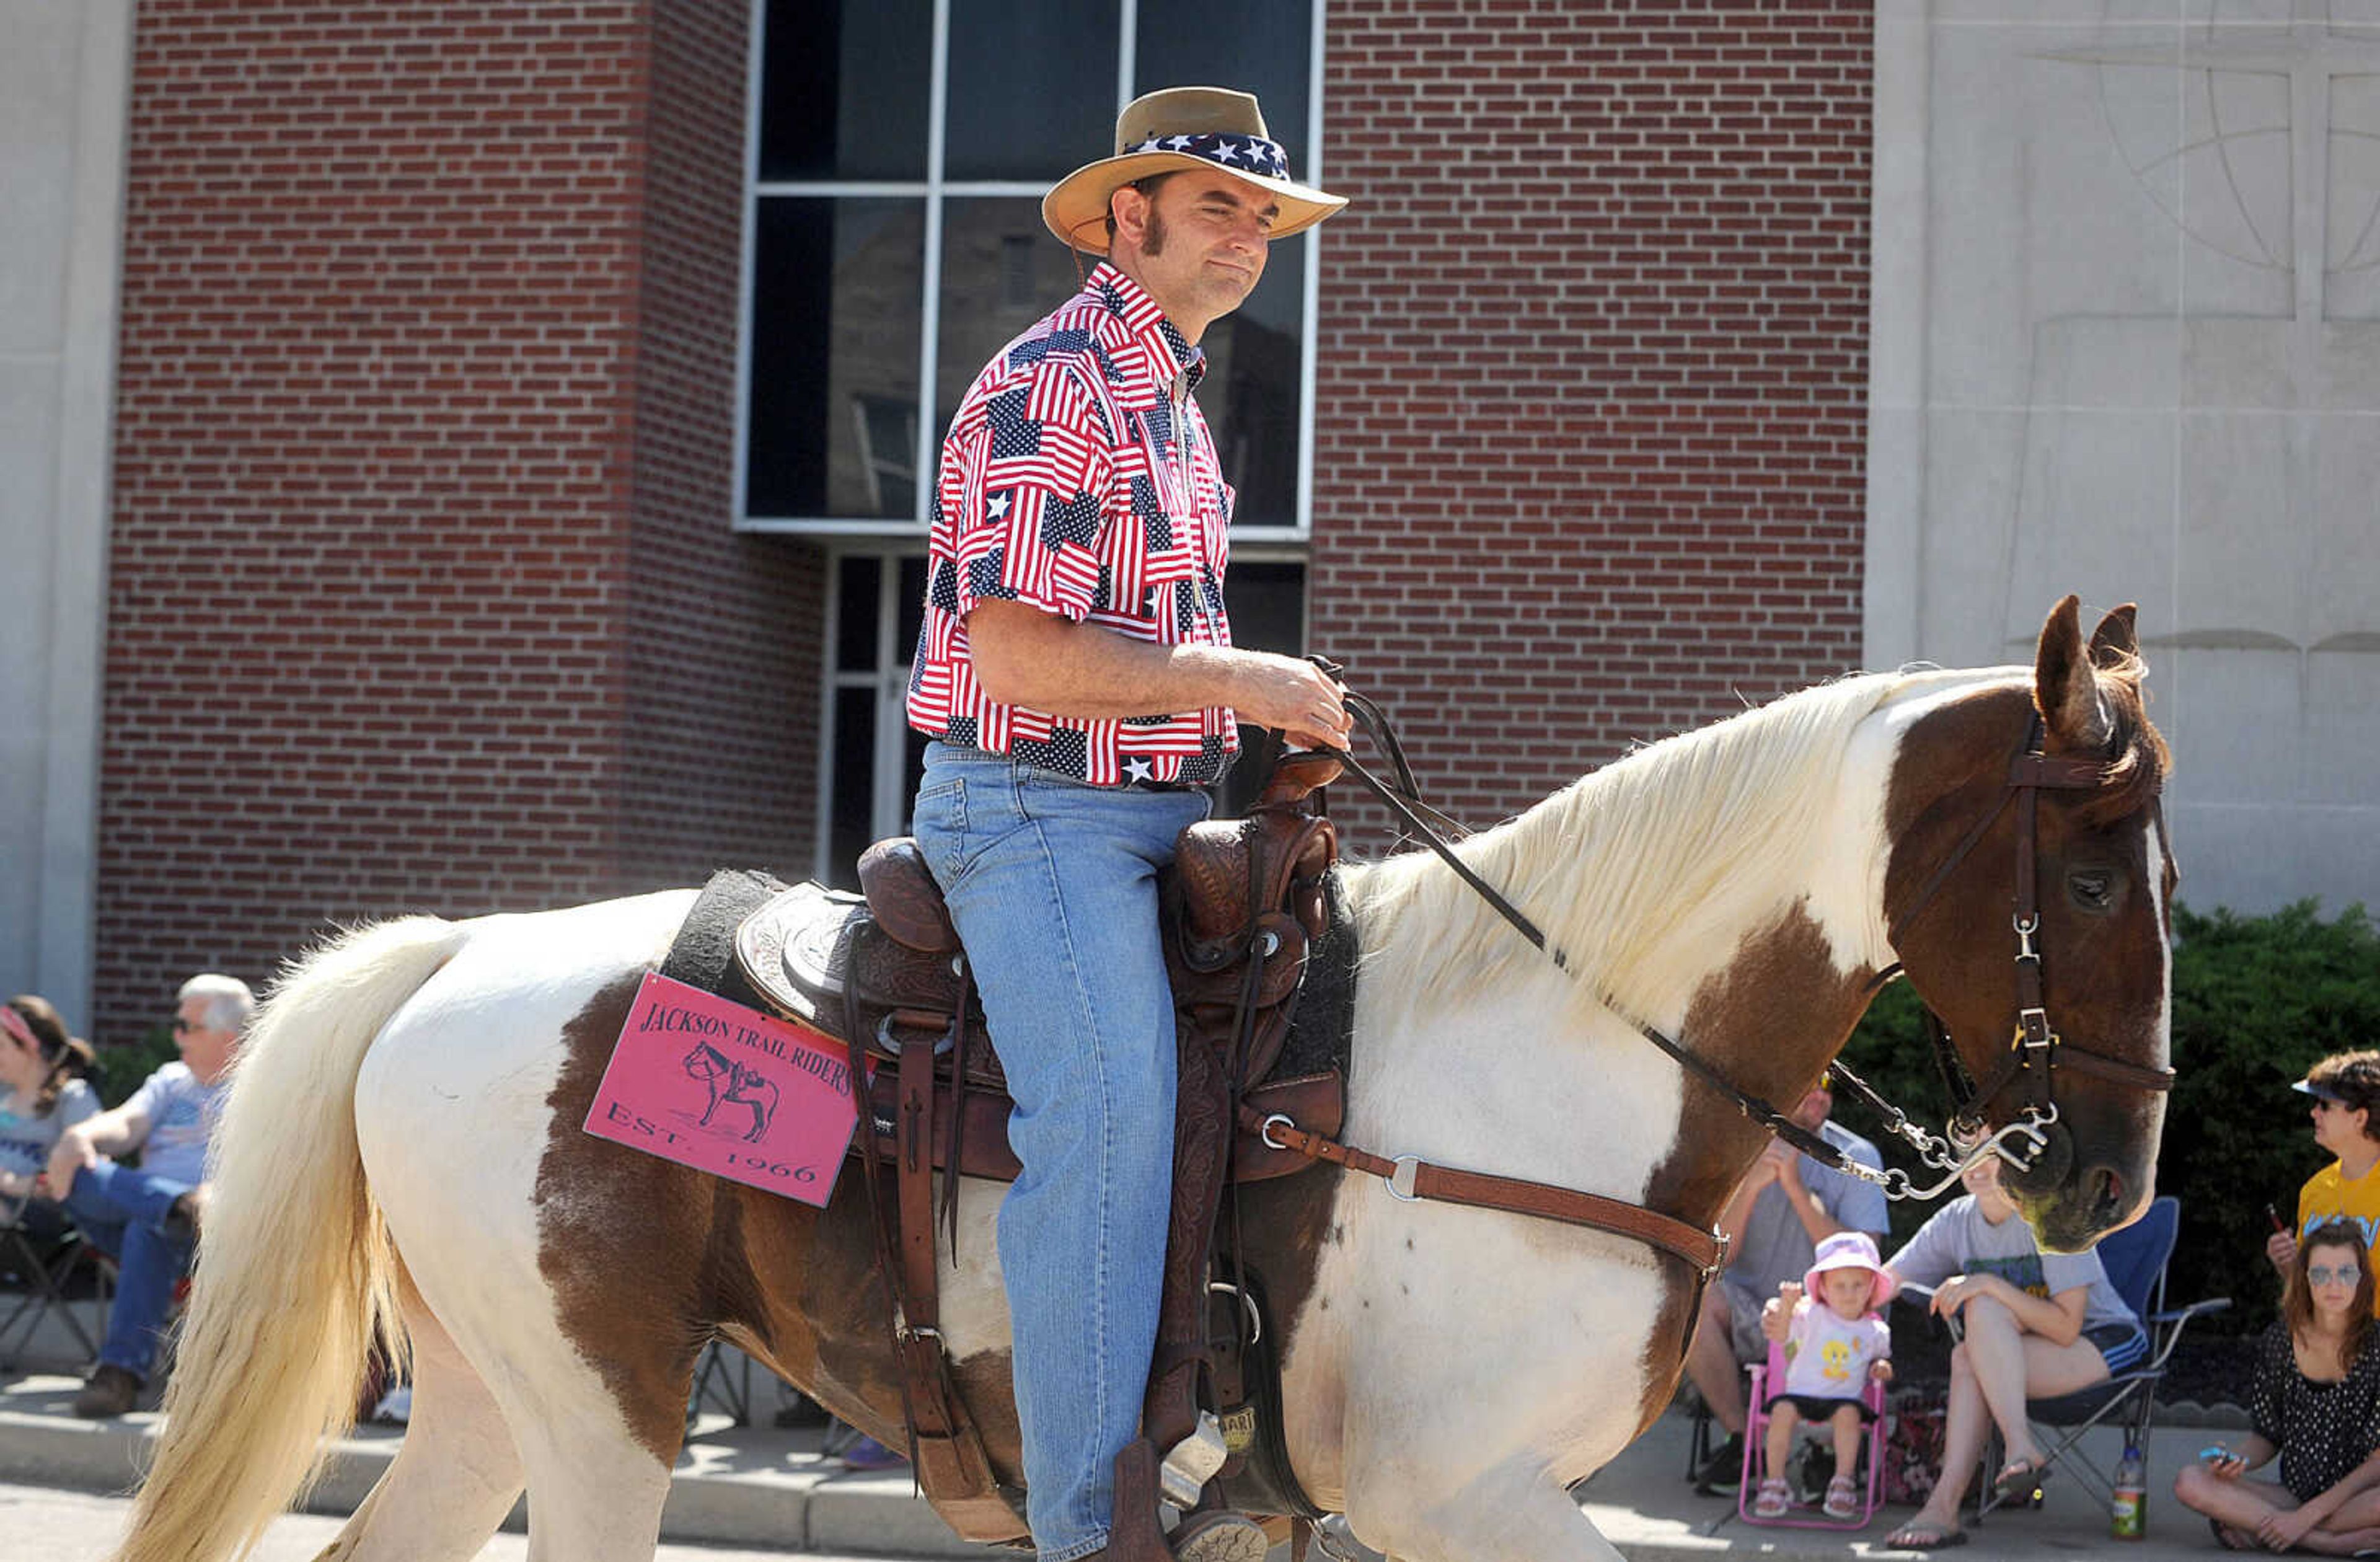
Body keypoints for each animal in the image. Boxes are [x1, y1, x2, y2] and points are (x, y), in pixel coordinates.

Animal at [125, 598, 2180, 1562]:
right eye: (2088, 874)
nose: (2108, 1176)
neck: (1555, 1067)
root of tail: (454, 954)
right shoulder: (1454, 1488)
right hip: (598, 1412)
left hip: (490, 1400)